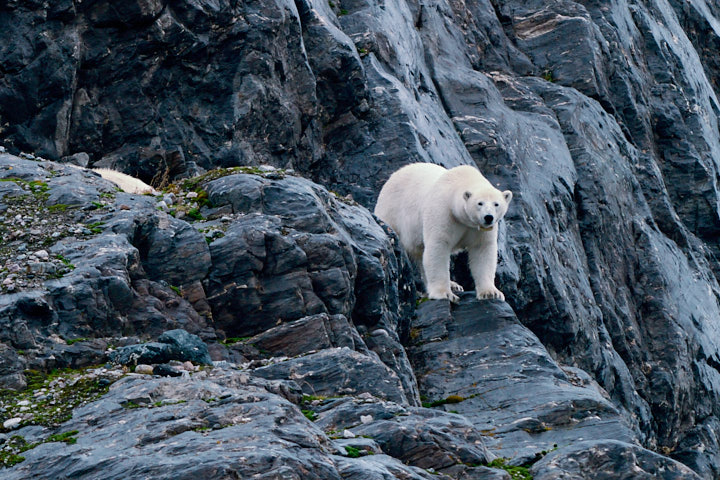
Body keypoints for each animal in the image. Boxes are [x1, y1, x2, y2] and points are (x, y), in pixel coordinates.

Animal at [374, 163, 512, 302]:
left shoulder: (479, 230)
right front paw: (445, 293)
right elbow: (438, 247)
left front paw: (491, 293)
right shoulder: (443, 212)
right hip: (392, 211)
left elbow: (482, 250)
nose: (488, 217)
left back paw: (454, 285)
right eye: (480, 203)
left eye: (496, 204)